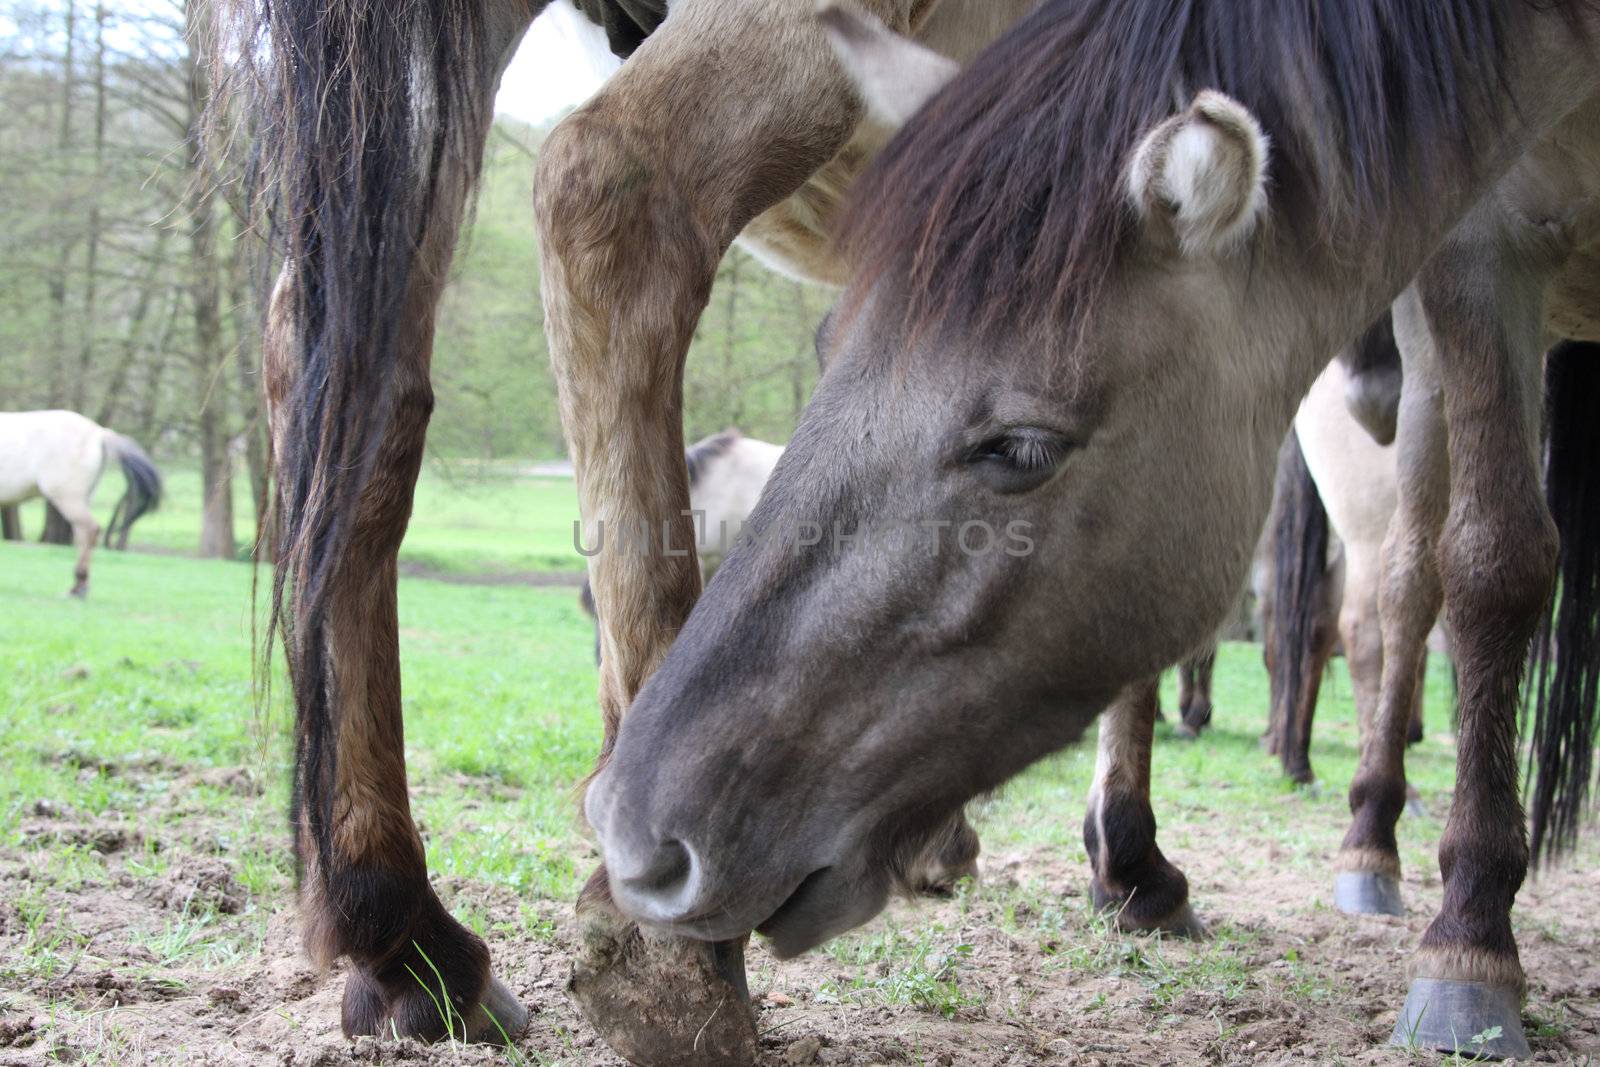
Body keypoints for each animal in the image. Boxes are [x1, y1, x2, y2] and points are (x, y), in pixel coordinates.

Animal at [579, 4, 1600, 1062]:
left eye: (1024, 446)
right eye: (827, 346)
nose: (628, 831)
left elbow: (1496, 562)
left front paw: (1471, 939)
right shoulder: (1479, 250)